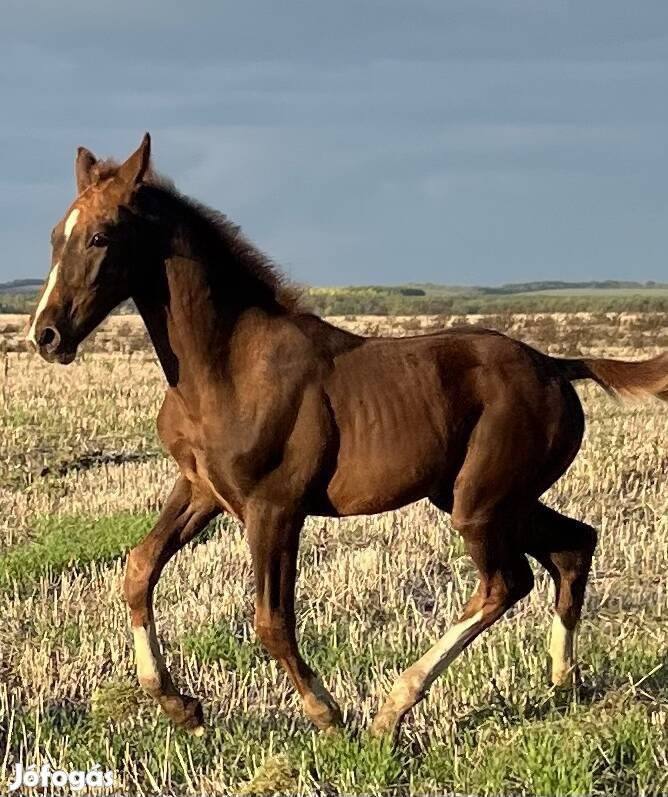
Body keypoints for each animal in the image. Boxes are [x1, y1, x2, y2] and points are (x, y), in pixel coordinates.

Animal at [28, 134, 664, 736]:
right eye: (56, 235)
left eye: (101, 236)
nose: (47, 335)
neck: (226, 367)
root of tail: (557, 365)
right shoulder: (202, 490)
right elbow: (139, 569)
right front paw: (179, 706)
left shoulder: (275, 507)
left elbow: (271, 620)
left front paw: (327, 714)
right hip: (495, 497)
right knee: (572, 546)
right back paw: (563, 680)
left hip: (482, 503)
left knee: (505, 583)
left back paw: (393, 708)